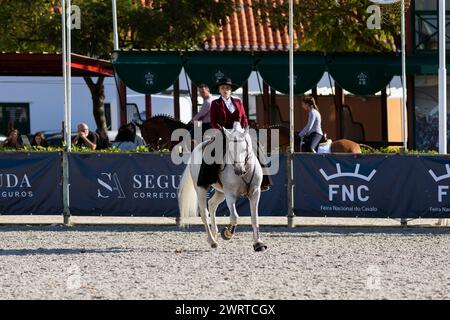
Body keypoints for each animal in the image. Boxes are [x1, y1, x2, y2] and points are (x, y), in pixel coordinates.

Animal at [177, 121, 268, 251]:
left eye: (245, 149)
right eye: (229, 150)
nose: (238, 170)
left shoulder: (255, 193)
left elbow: (254, 218)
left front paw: (258, 243)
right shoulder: (230, 195)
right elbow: (234, 217)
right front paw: (227, 233)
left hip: (220, 192)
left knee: (212, 204)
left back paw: (214, 234)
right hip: (201, 189)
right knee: (204, 213)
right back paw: (212, 241)